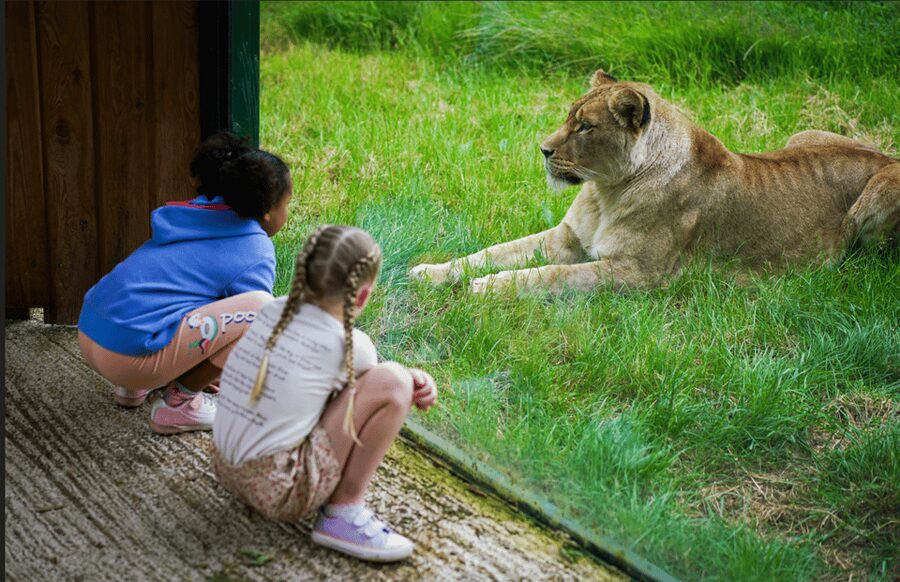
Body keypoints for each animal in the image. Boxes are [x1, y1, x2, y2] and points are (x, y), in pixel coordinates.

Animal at [410, 70, 899, 293]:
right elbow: (491, 252)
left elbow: (551, 276)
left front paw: (489, 288)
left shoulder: (638, 273)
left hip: (880, 190)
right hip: (803, 135)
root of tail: (884, 153)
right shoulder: (566, 237)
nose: (543, 150)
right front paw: (430, 273)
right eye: (569, 117)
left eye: (585, 126)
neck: (605, 191)